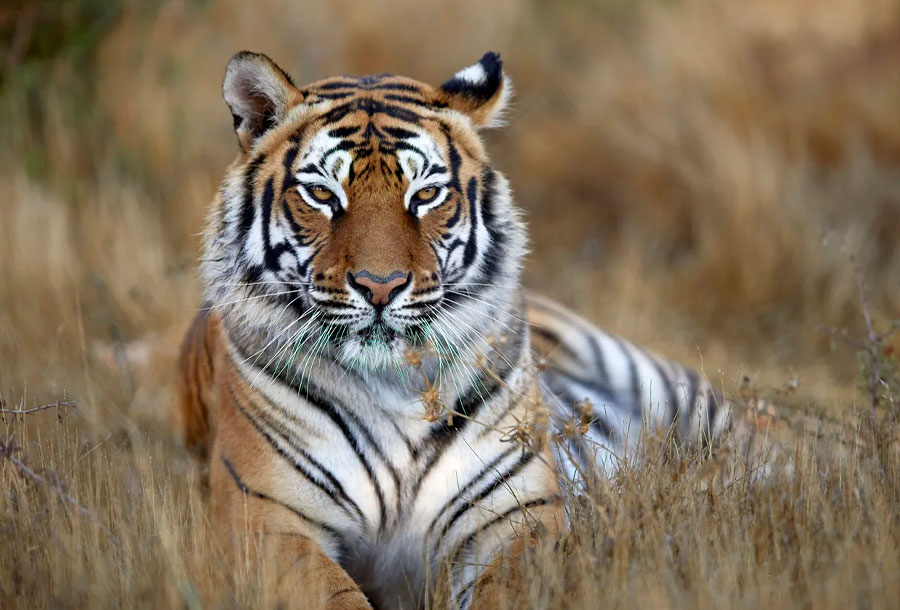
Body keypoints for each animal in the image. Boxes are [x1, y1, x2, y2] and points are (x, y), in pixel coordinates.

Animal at [176, 50, 731, 610]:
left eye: (425, 195)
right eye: (320, 194)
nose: (380, 286)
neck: (393, 388)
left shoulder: (516, 518)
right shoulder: (267, 521)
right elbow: (338, 598)